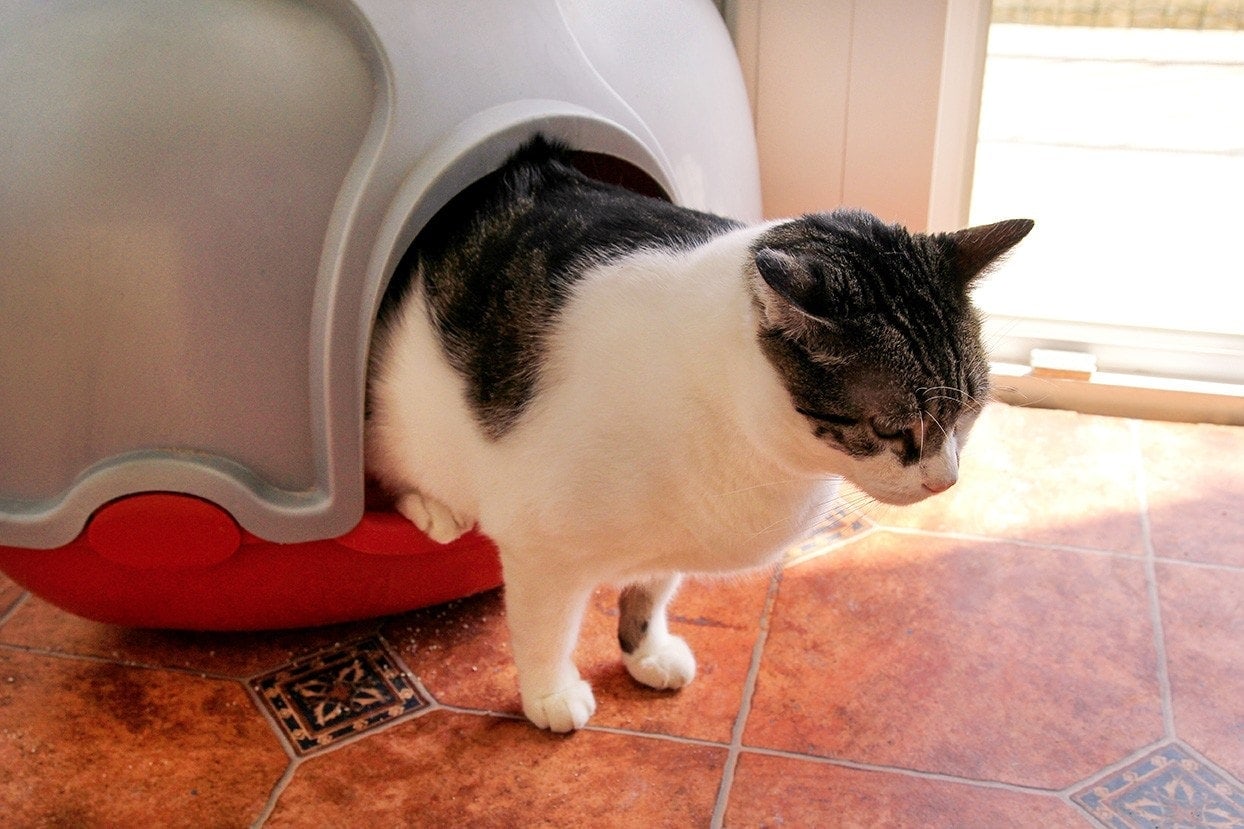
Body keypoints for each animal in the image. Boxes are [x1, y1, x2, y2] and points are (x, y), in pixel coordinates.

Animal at [365, 136, 1030, 731]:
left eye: (969, 413)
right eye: (894, 429)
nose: (946, 482)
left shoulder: (674, 529)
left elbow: (651, 591)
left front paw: (645, 650)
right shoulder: (542, 546)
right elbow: (545, 628)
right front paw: (550, 695)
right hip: (402, 418)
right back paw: (433, 510)